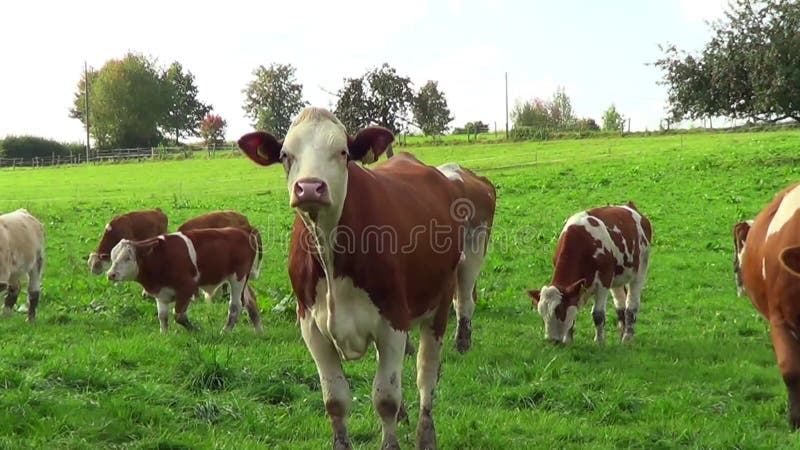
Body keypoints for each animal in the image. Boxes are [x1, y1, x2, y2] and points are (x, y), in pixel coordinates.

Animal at [105, 229, 262, 334]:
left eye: (127, 258)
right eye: (113, 258)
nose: (111, 274)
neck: (160, 257)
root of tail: (244, 232)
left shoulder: (188, 287)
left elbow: (179, 315)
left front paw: (196, 329)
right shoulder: (161, 294)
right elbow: (162, 316)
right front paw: (164, 335)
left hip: (237, 278)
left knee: (235, 306)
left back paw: (226, 331)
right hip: (243, 280)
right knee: (250, 301)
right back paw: (259, 331)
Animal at [234, 107, 488, 448]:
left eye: (342, 152)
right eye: (285, 155)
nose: (309, 187)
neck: (330, 251)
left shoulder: (393, 322)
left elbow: (386, 398)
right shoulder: (311, 327)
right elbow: (335, 400)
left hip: (442, 300)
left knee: (426, 374)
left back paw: (425, 432)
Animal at [528, 203, 652, 344]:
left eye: (560, 310)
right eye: (541, 312)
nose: (551, 340)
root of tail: (630, 206)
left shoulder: (604, 281)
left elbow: (598, 314)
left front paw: (599, 341)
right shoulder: (577, 288)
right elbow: (574, 311)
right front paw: (568, 340)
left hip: (640, 270)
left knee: (632, 306)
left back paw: (627, 338)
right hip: (617, 279)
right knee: (620, 305)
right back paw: (622, 335)